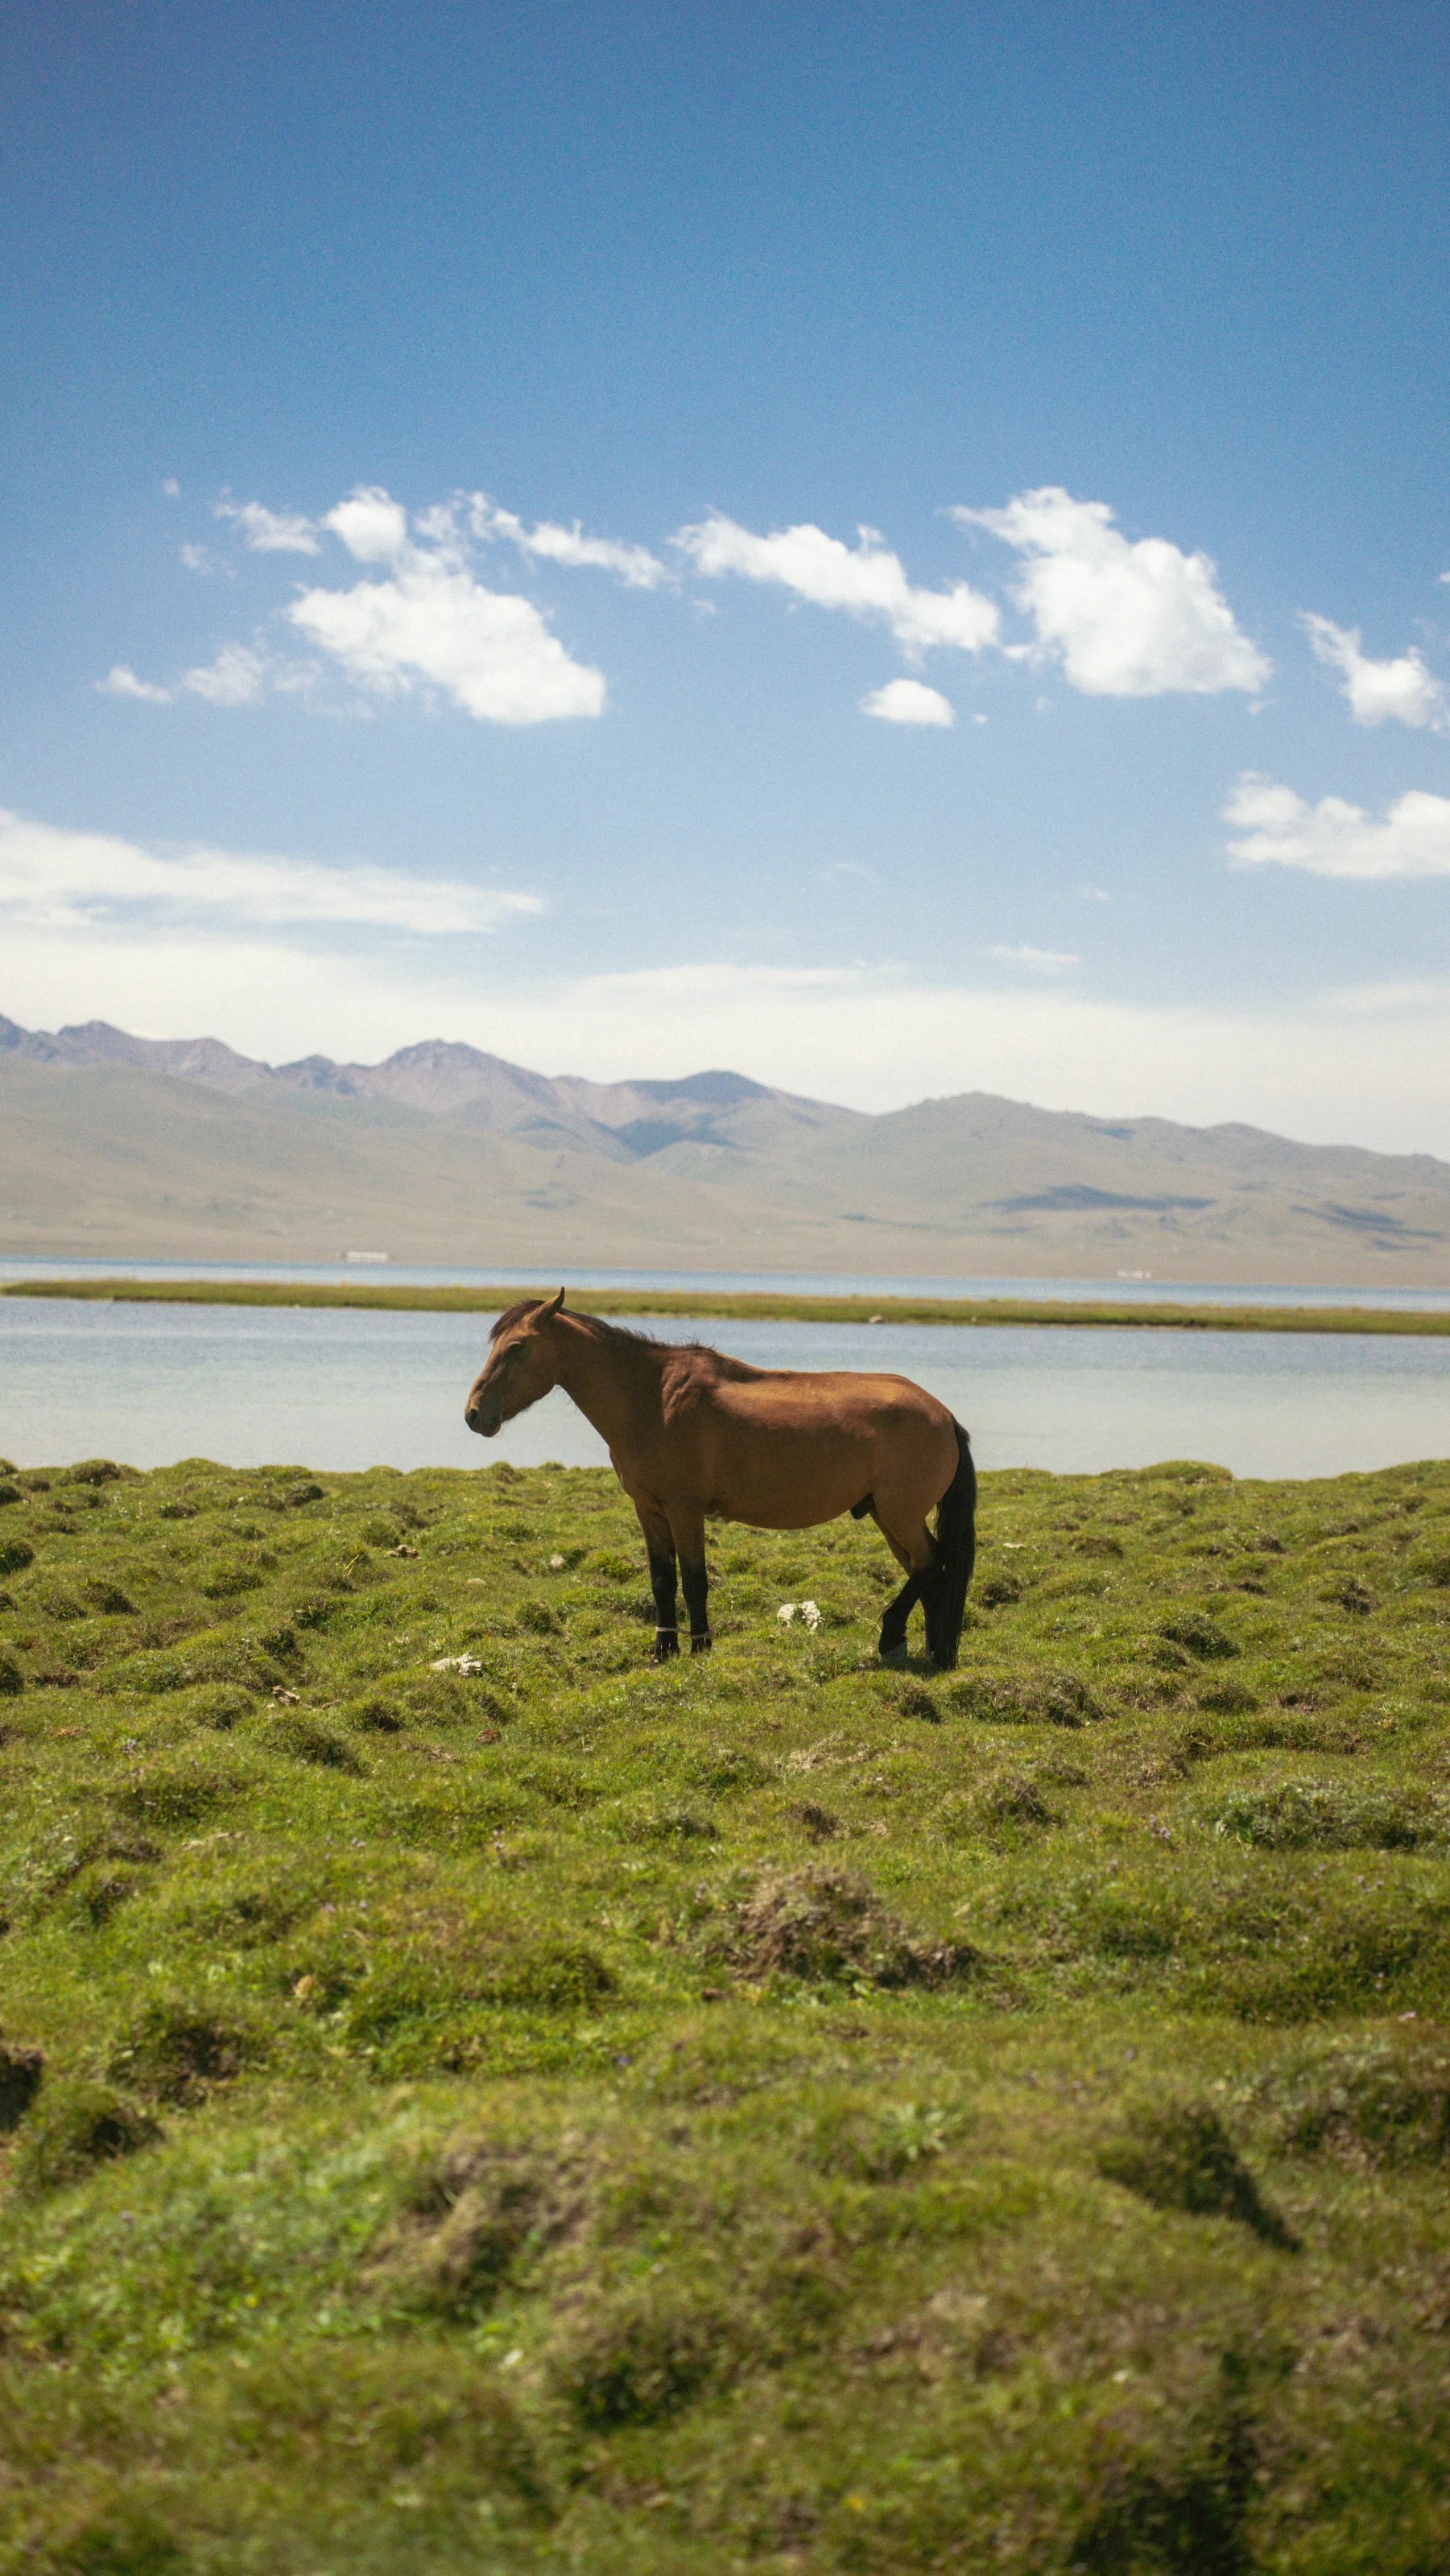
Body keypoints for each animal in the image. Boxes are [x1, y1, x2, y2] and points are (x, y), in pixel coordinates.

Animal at [463, 1291, 976, 1667]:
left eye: (517, 1347)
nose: (474, 1415)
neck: (652, 1399)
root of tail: (944, 1415)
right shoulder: (649, 1509)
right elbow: (662, 1580)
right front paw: (663, 1650)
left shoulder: (684, 1509)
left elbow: (693, 1580)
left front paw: (700, 1646)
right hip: (887, 1517)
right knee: (928, 1571)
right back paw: (932, 1651)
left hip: (898, 1514)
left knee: (932, 1564)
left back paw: (894, 1639)